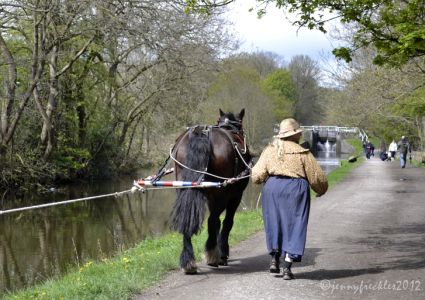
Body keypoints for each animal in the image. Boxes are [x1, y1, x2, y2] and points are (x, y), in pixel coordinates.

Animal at [169, 108, 250, 274]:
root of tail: (201, 134)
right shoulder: (235, 196)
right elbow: (227, 222)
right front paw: (223, 252)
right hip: (221, 194)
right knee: (213, 220)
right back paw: (213, 254)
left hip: (185, 188)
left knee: (187, 219)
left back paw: (189, 261)